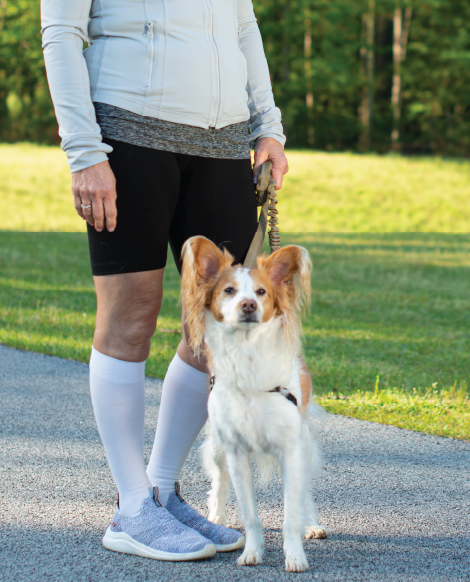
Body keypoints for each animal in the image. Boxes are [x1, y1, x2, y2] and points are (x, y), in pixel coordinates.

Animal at [180, 237, 326, 576]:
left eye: (261, 292)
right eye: (229, 290)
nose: (248, 305)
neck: (248, 356)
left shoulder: (291, 450)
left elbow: (291, 513)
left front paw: (295, 556)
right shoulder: (236, 453)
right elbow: (250, 514)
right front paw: (252, 552)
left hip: (304, 446)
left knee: (304, 492)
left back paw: (311, 523)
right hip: (218, 448)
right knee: (219, 481)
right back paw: (216, 517)